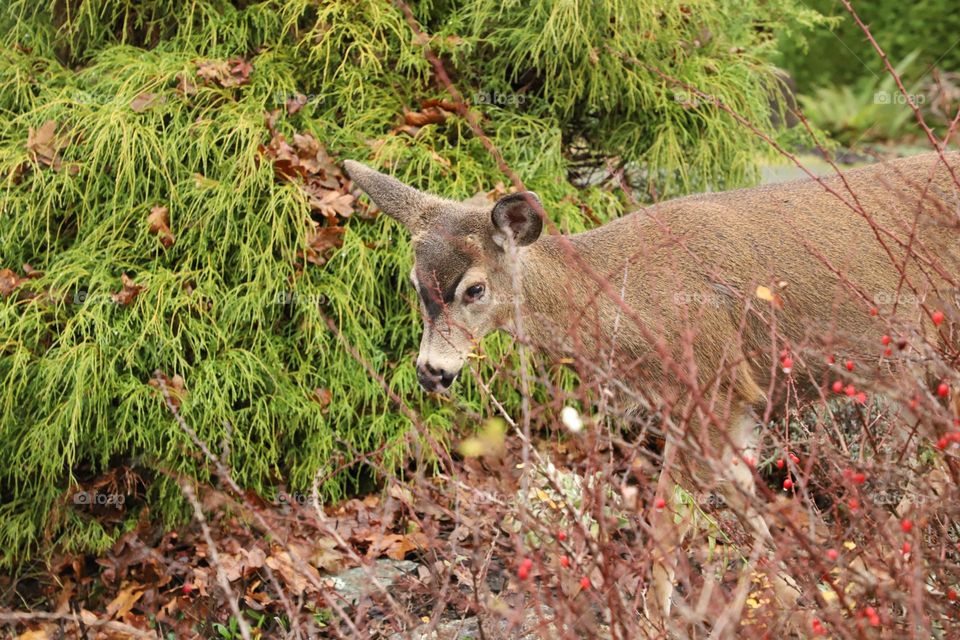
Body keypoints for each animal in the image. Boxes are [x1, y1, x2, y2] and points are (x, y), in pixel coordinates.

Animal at [344, 152, 960, 628]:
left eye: (474, 289)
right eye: (413, 283)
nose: (431, 371)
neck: (626, 305)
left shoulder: (709, 383)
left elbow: (671, 520)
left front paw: (653, 619)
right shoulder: (729, 404)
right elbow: (735, 504)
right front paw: (795, 599)